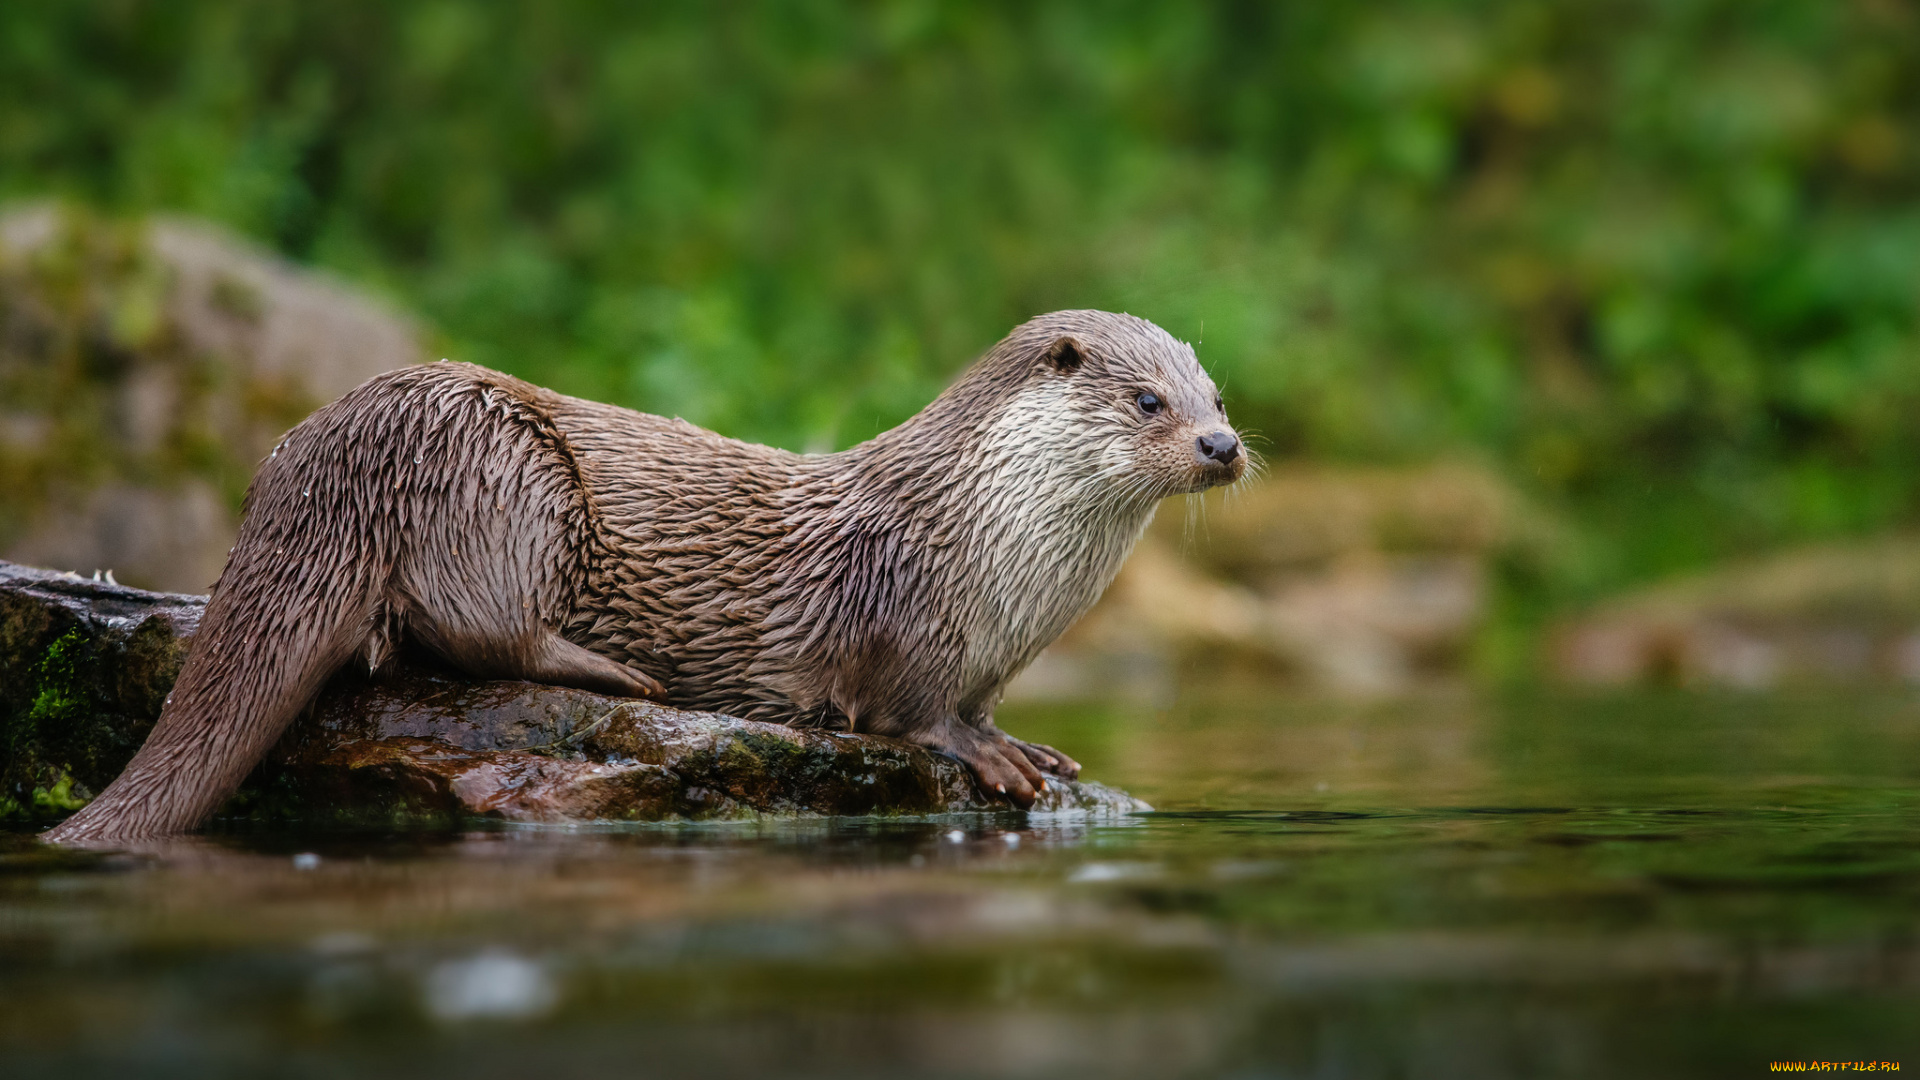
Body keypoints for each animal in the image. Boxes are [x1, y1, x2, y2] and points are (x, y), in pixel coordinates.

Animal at [48, 309, 1244, 841]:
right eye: (1149, 400)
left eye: (1217, 395)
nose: (1223, 445)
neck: (988, 548)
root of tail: (314, 454)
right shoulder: (901, 617)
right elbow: (911, 713)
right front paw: (989, 755)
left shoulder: (993, 653)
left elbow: (985, 704)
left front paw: (1032, 742)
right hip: (498, 470)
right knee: (481, 629)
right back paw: (618, 674)